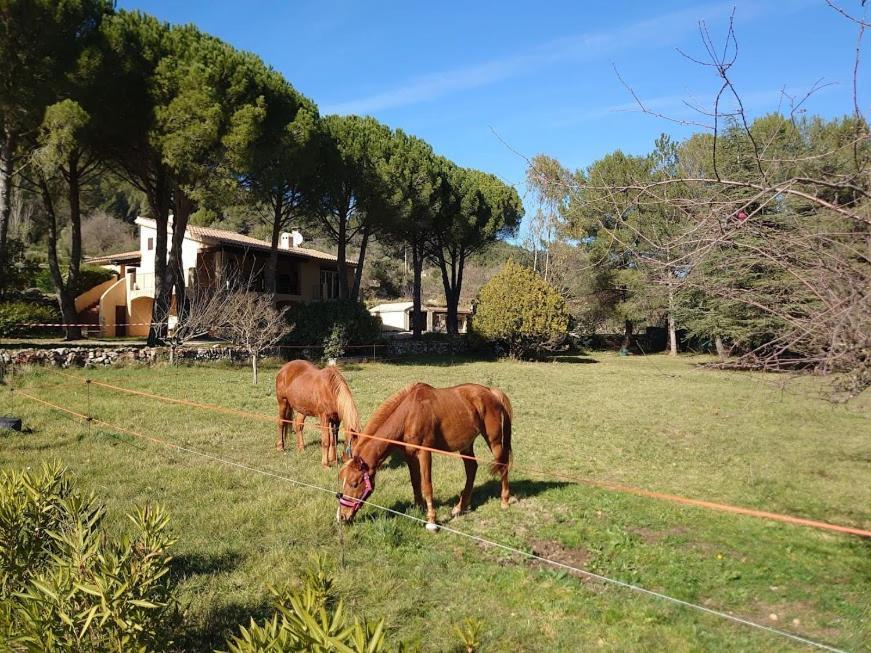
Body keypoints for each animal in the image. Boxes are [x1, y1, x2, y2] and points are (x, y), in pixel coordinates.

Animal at [334, 382, 510, 524]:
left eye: (354, 483)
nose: (341, 517)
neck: (409, 415)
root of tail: (491, 392)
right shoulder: (410, 456)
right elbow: (415, 481)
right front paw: (418, 509)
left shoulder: (425, 453)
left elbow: (427, 485)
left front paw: (431, 519)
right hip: (466, 445)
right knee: (472, 469)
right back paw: (460, 507)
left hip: (494, 441)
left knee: (503, 465)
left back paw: (505, 501)